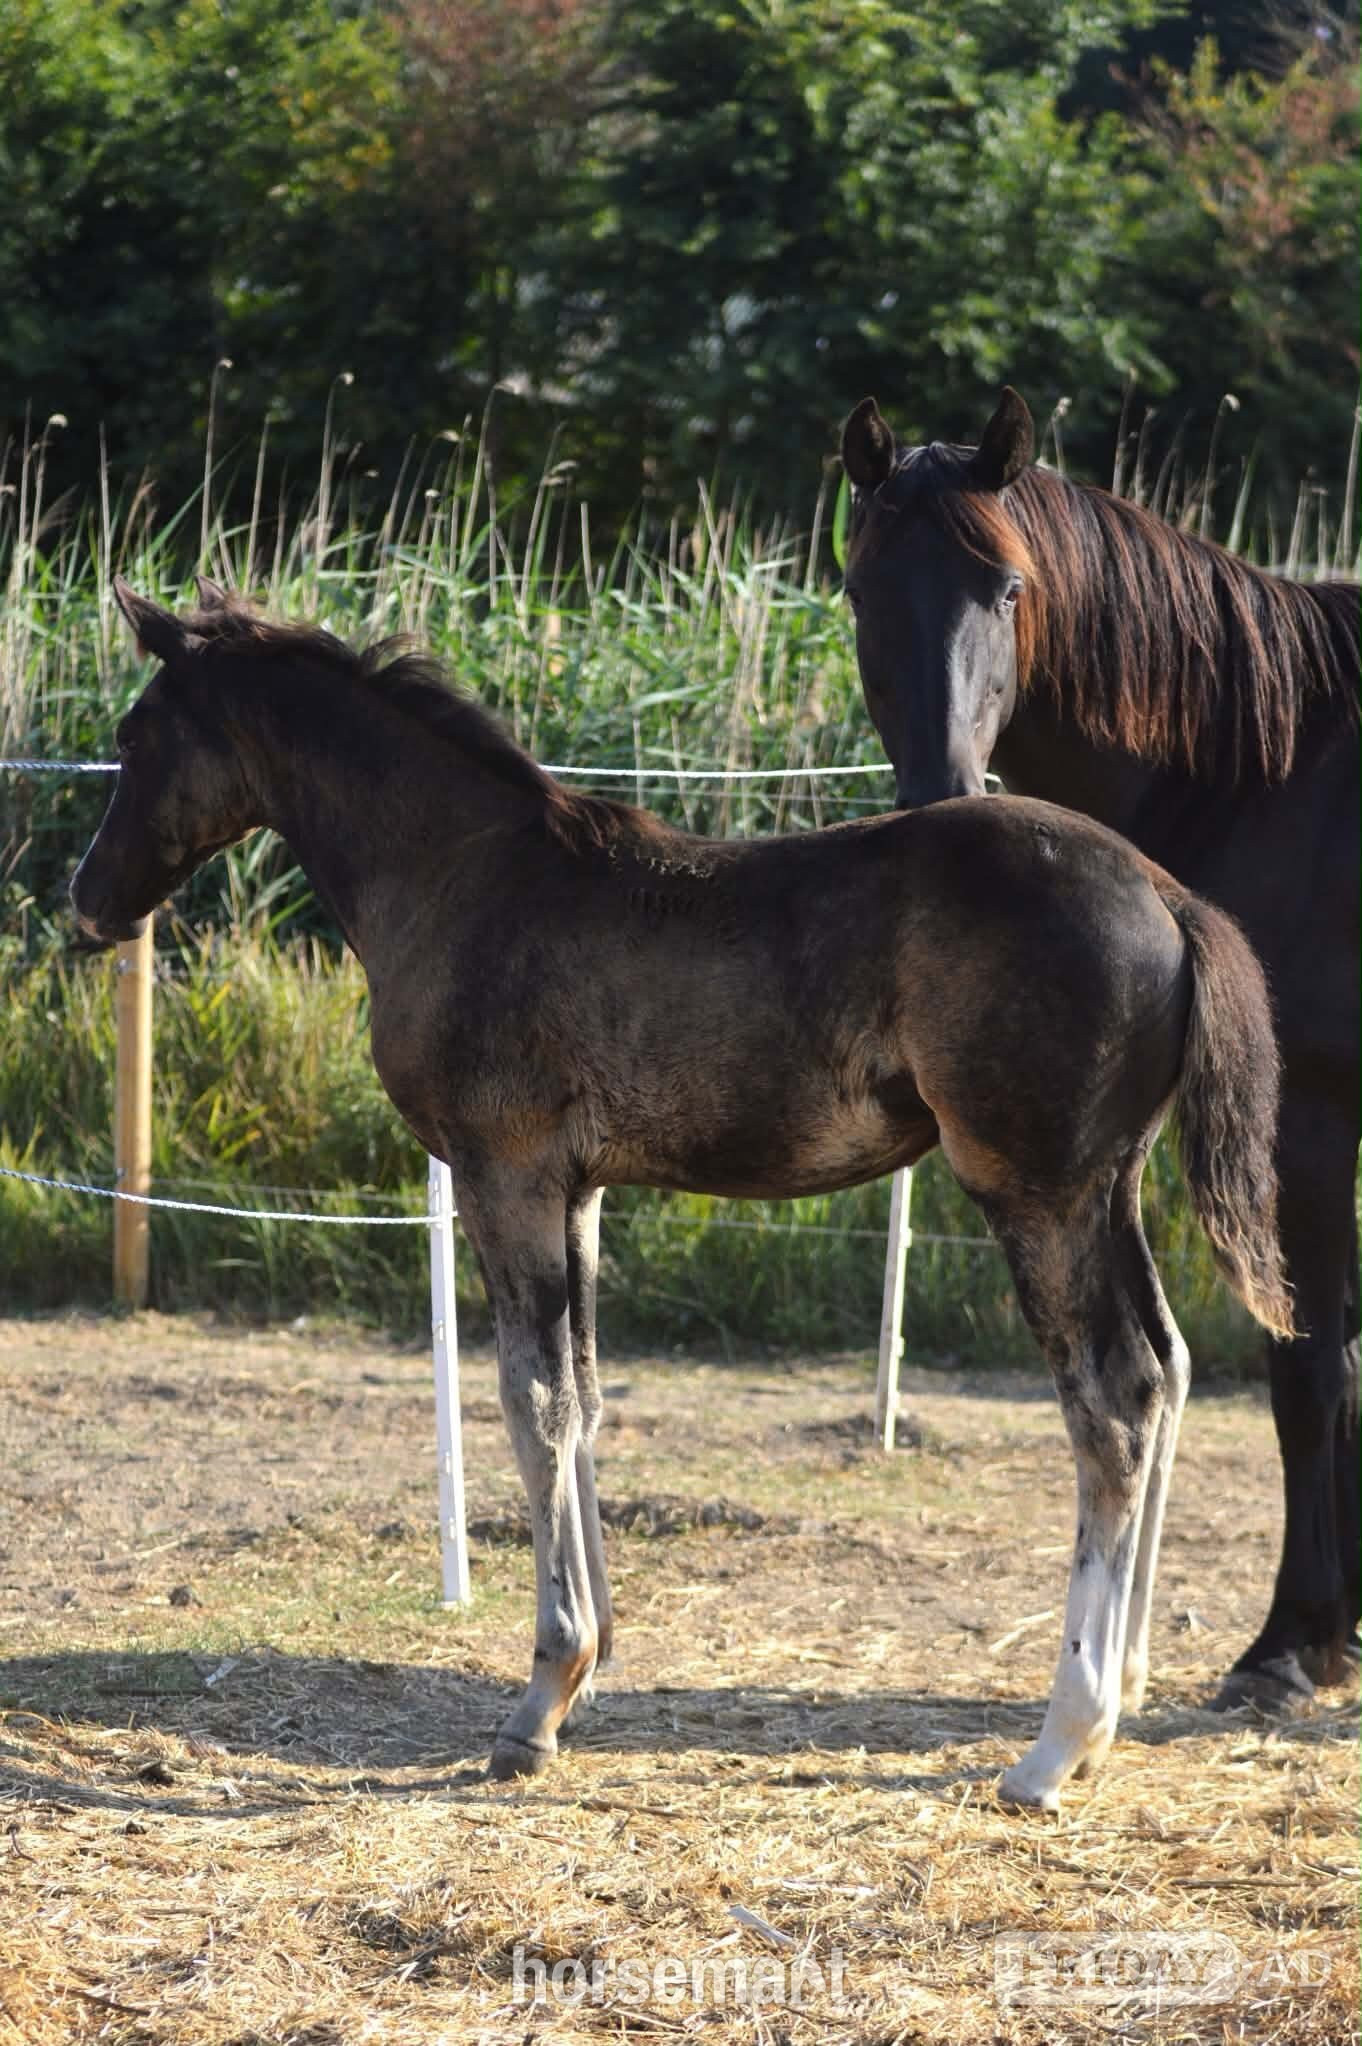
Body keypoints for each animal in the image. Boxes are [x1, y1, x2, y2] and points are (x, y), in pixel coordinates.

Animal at [71, 577, 1292, 1810]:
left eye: (135, 736)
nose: (89, 899)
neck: (464, 875)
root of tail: (1167, 894)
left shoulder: (505, 1175)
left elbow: (532, 1401)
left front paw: (540, 1697)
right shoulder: (581, 1191)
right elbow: (586, 1397)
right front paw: (589, 1669)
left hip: (1036, 1192)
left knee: (1114, 1401)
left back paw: (1058, 1742)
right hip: (1111, 1187)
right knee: (1170, 1365)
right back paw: (1122, 1692)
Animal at [839, 386, 1360, 1713]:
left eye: (1009, 589)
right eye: (863, 587)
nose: (941, 794)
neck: (1267, 769)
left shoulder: (1308, 1124)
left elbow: (1309, 1370)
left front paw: (1294, 1646)